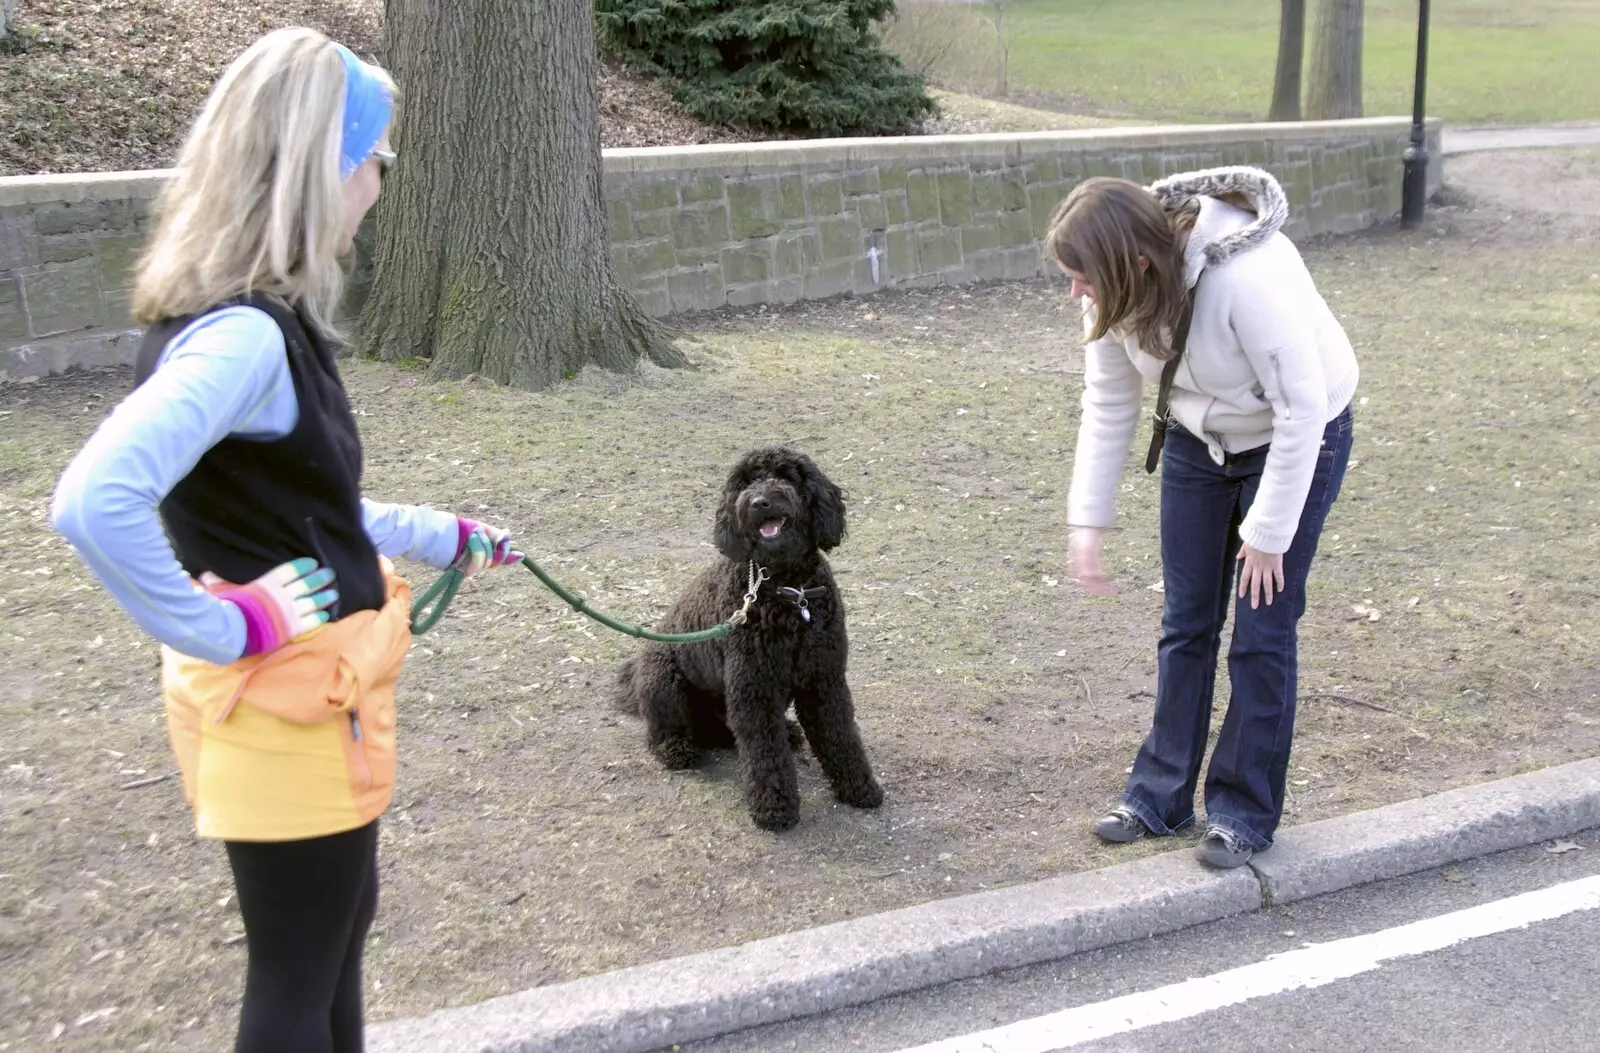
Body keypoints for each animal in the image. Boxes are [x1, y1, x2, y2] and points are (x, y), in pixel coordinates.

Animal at [611, 441, 889, 825]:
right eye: (744, 483)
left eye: (787, 476)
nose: (759, 502)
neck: (787, 590)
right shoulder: (753, 687)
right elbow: (765, 752)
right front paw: (774, 807)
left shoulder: (824, 680)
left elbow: (840, 734)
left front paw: (860, 787)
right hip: (665, 681)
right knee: (662, 731)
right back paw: (676, 749)